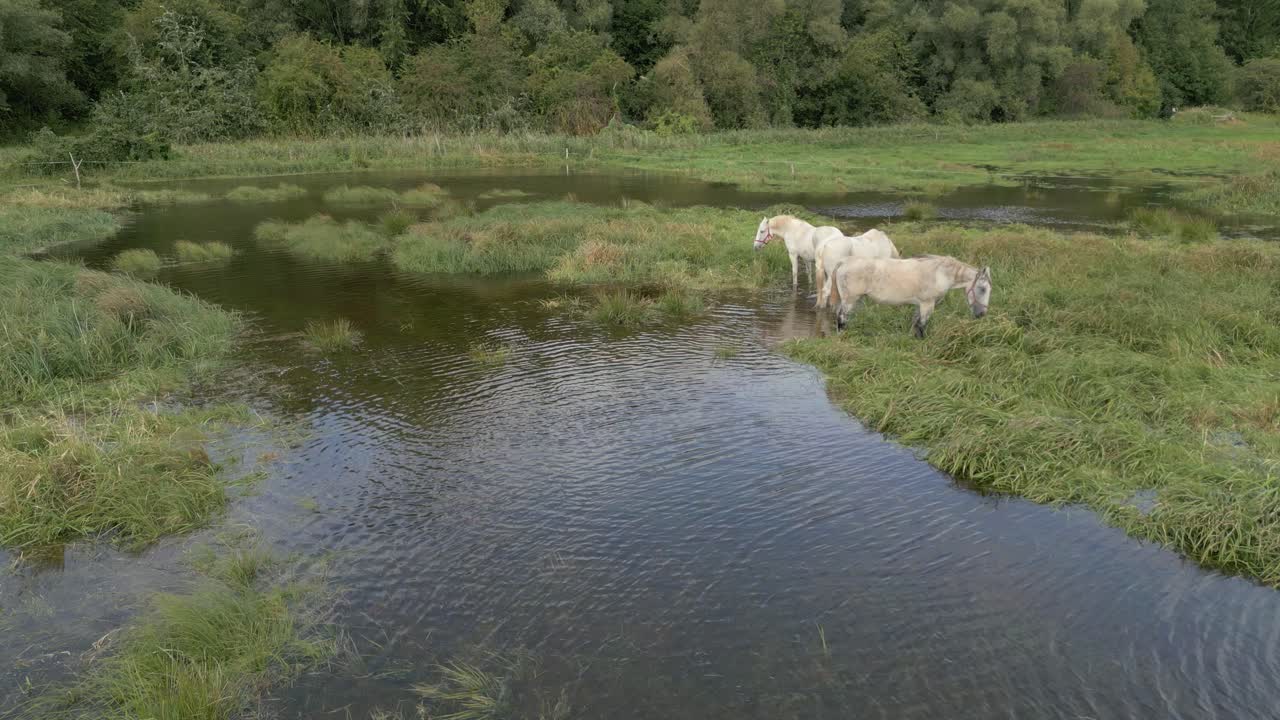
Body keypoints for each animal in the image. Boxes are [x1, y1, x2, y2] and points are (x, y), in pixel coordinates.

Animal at [830, 254, 992, 338]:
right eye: (983, 289)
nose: (982, 314)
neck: (940, 273)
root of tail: (843, 263)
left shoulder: (920, 305)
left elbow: (915, 323)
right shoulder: (927, 304)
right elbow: (922, 325)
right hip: (849, 300)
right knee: (841, 317)